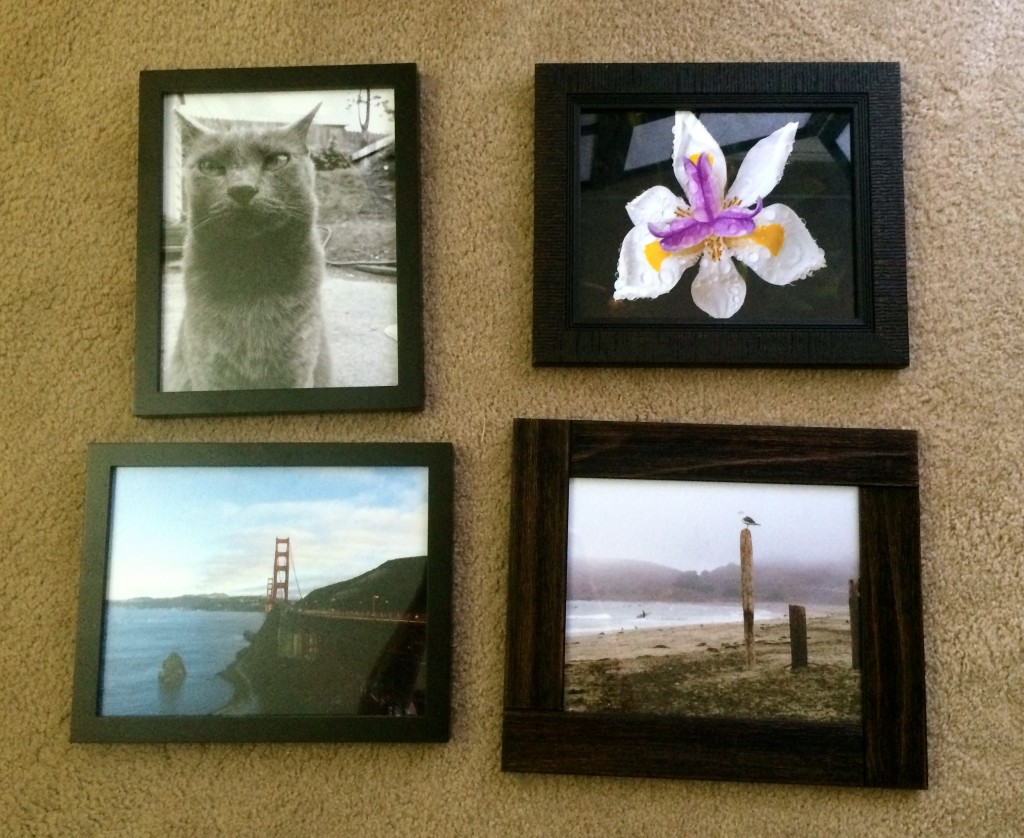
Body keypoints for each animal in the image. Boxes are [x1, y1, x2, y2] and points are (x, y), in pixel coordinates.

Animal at [165, 103, 329, 389]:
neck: (251, 266)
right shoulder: (207, 372)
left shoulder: (299, 368)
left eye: (277, 160)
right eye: (210, 166)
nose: (242, 188)